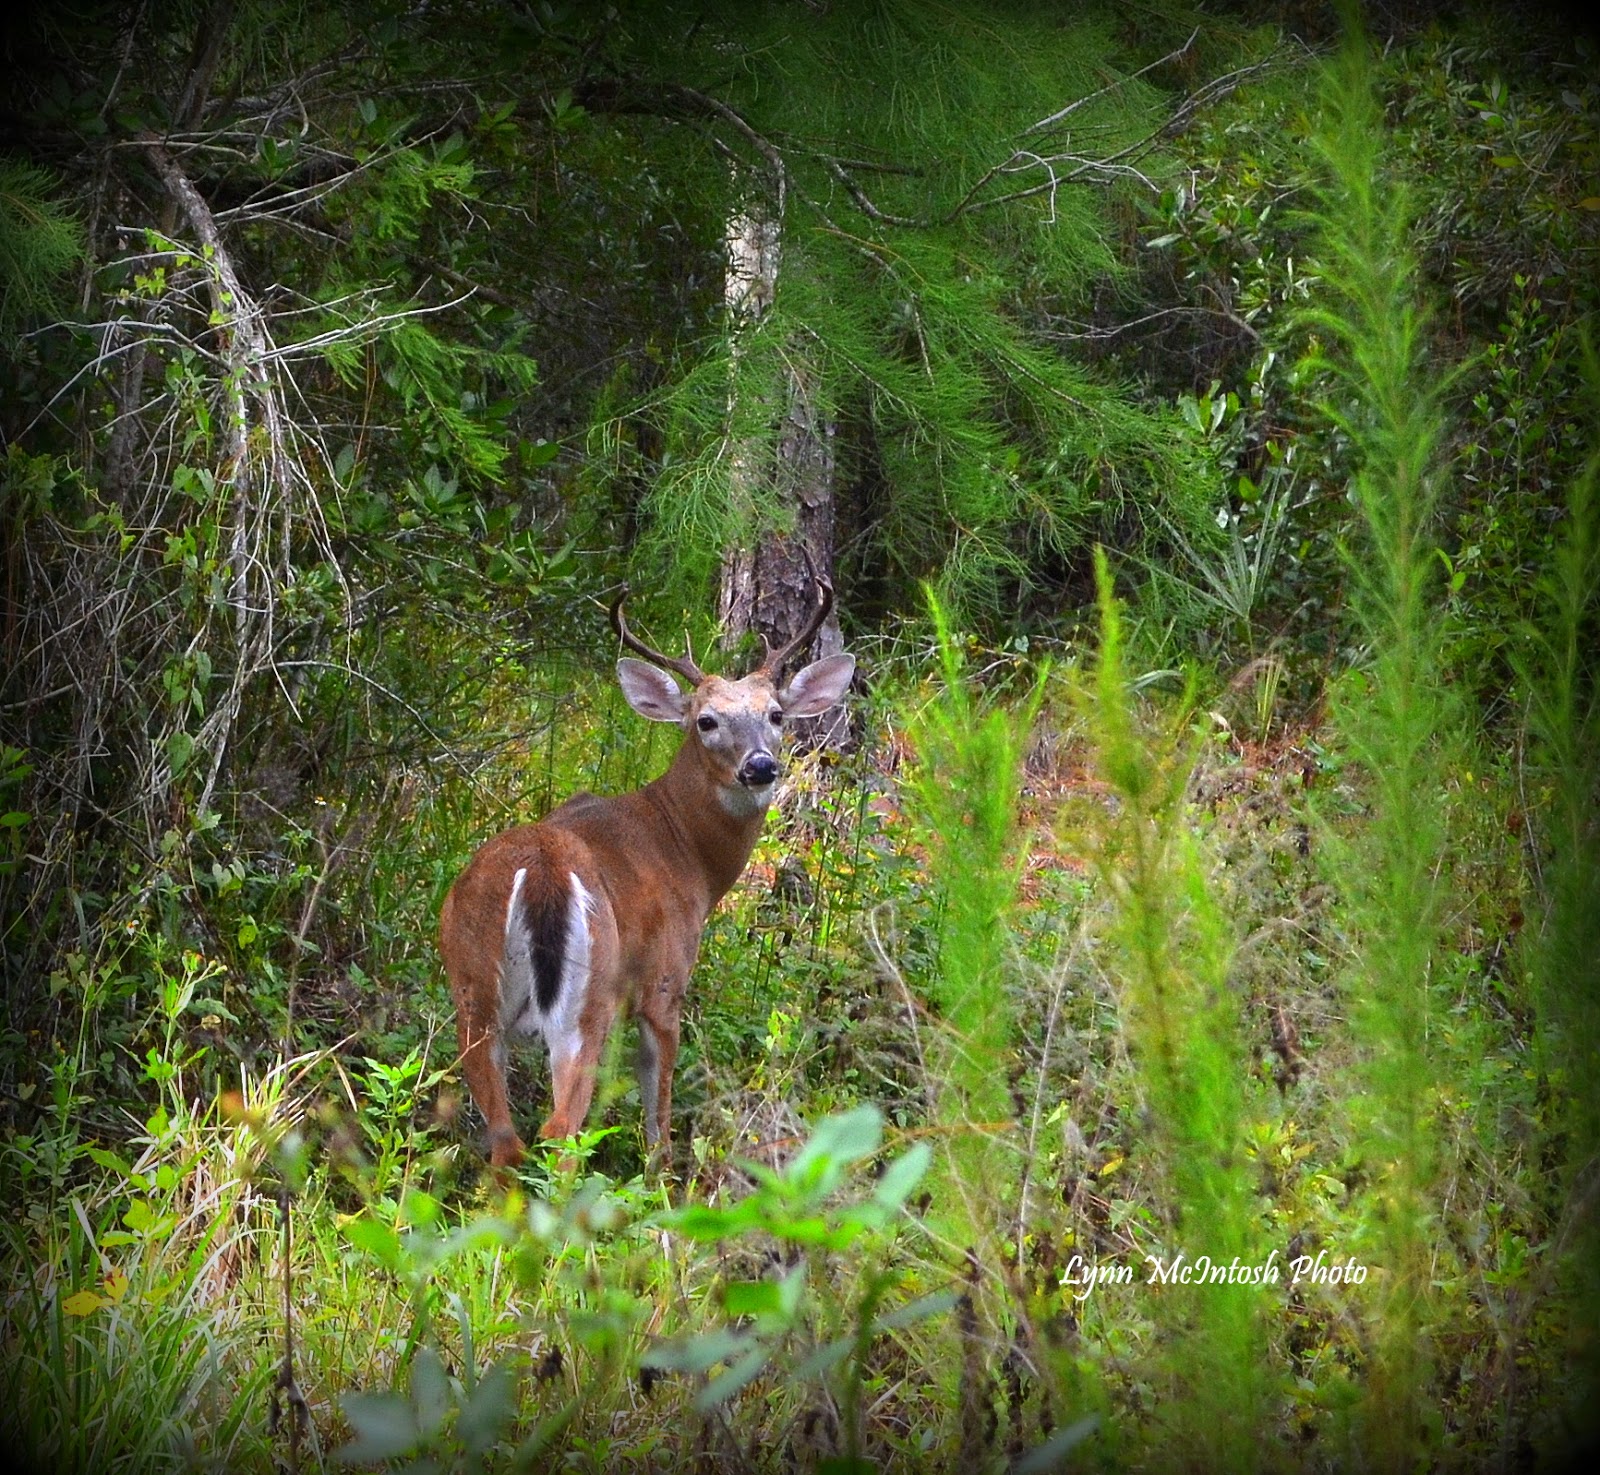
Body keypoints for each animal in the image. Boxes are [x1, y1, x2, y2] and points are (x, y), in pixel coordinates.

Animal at [439, 572, 855, 1168]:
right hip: (585, 1000)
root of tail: (540, 872)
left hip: (470, 990)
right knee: (559, 1129)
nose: (760, 766)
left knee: (505, 1139)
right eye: (706, 721)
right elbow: (658, 1117)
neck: (688, 851)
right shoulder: (663, 979)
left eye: (776, 715)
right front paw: (661, 1179)